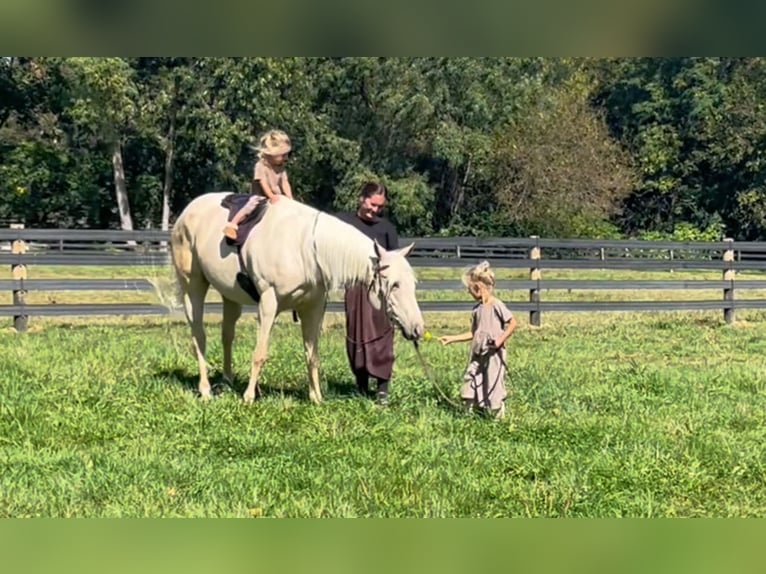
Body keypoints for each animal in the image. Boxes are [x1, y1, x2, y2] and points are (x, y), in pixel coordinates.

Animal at [169, 192, 425, 404]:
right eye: (394, 284)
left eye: (412, 284)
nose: (417, 328)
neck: (306, 249)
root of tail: (186, 212)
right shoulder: (268, 303)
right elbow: (260, 353)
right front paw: (249, 397)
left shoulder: (313, 308)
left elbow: (312, 356)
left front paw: (316, 398)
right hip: (193, 286)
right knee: (199, 337)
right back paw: (205, 390)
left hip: (229, 295)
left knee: (227, 336)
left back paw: (227, 382)